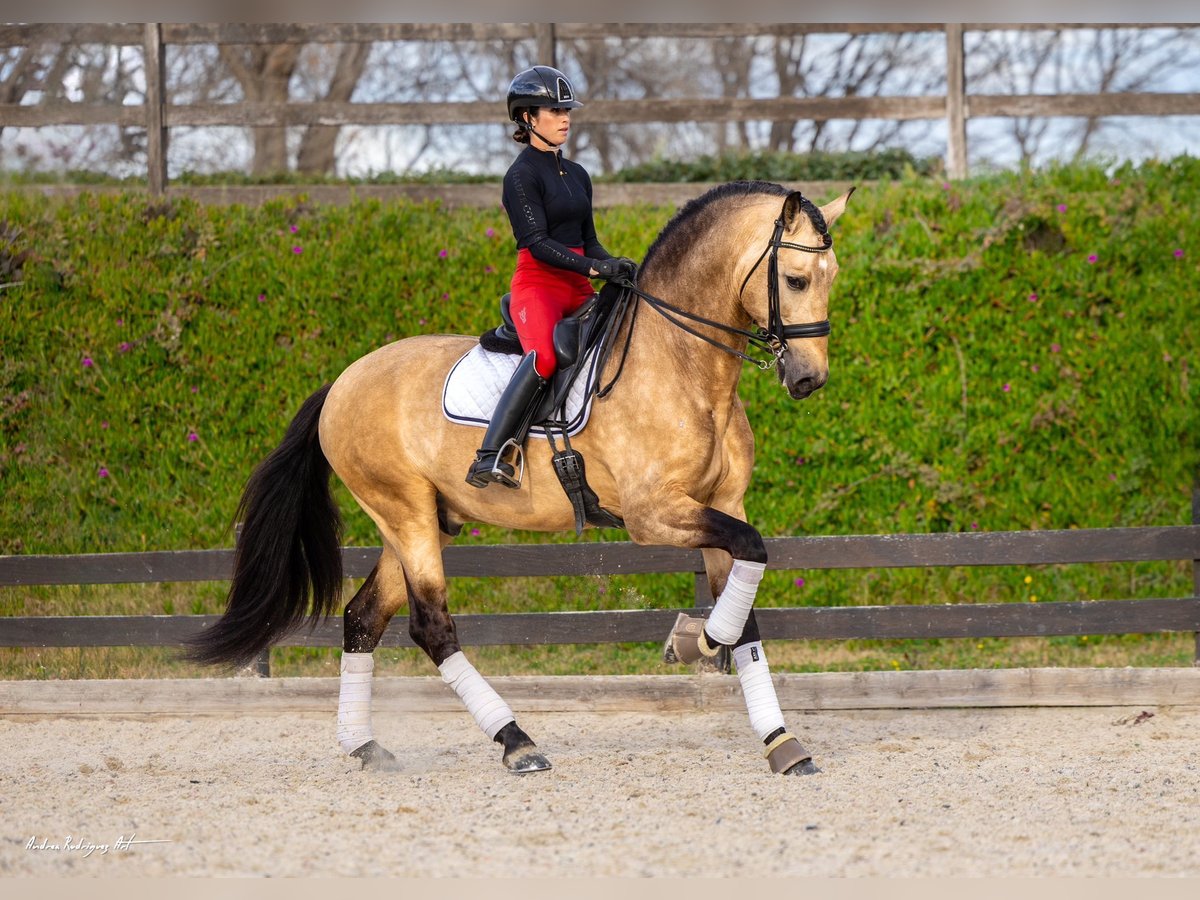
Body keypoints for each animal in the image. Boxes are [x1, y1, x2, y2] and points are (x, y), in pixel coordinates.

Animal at [187, 180, 854, 777]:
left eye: (833, 279)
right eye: (796, 280)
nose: (809, 379)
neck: (683, 365)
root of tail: (342, 382)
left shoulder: (723, 503)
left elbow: (747, 601)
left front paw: (779, 740)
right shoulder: (654, 513)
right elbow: (750, 563)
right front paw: (695, 642)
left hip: (421, 521)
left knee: (362, 619)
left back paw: (366, 747)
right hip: (404, 512)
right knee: (432, 626)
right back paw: (517, 743)